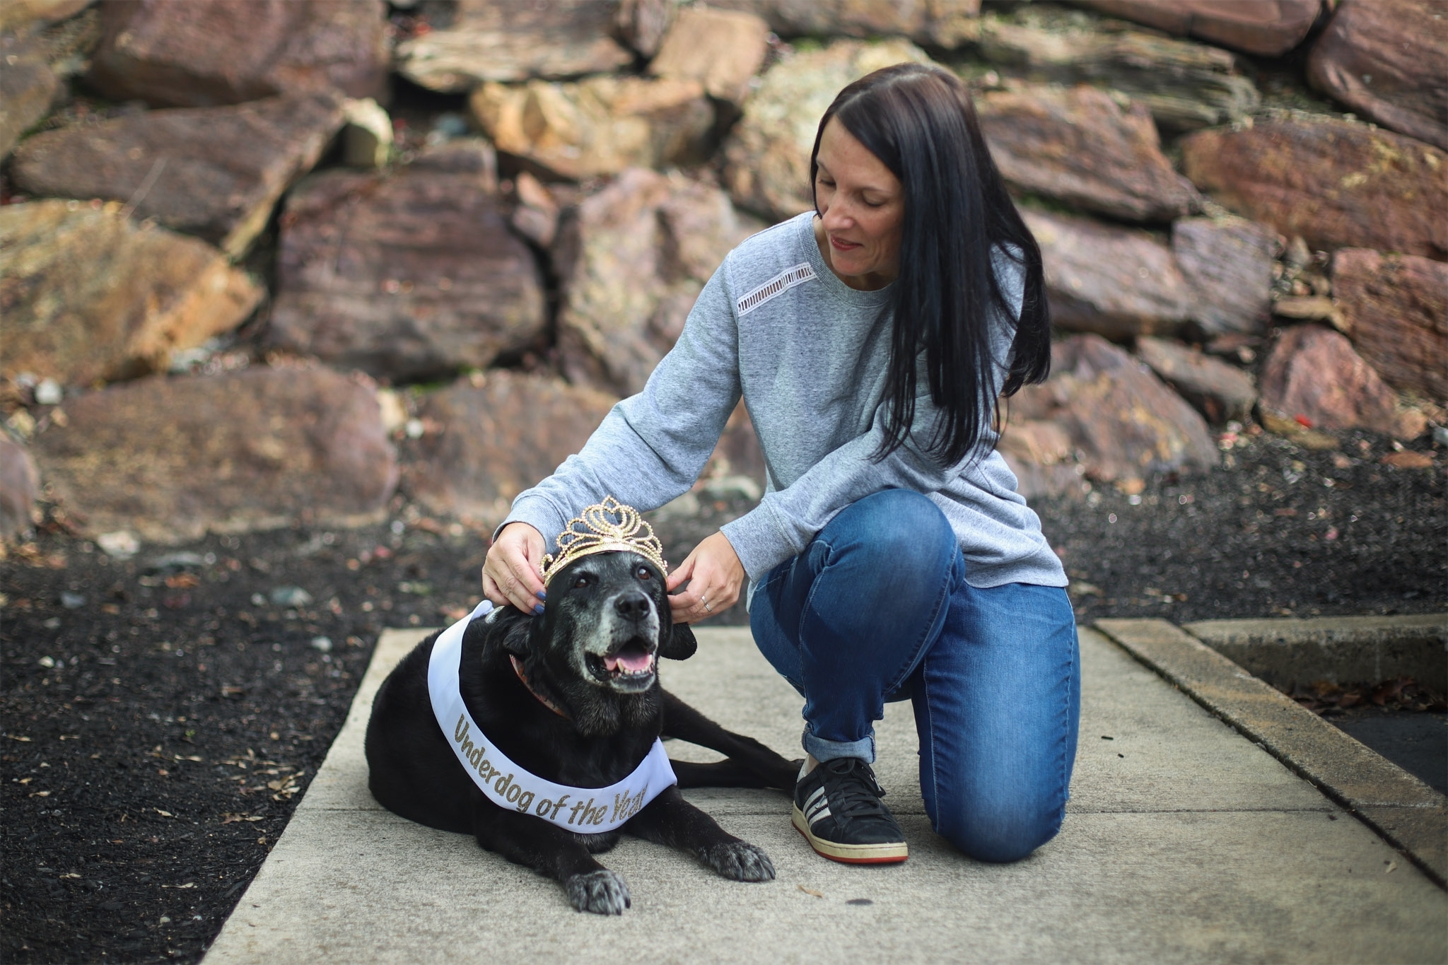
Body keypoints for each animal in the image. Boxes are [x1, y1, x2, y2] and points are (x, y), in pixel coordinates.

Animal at [362, 547, 793, 909]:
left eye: (645, 573)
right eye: (581, 582)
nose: (635, 604)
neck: (590, 730)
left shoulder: (651, 793)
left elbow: (697, 818)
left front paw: (734, 847)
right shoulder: (502, 819)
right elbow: (560, 842)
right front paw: (594, 878)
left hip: (665, 708)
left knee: (743, 744)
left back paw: (791, 776)